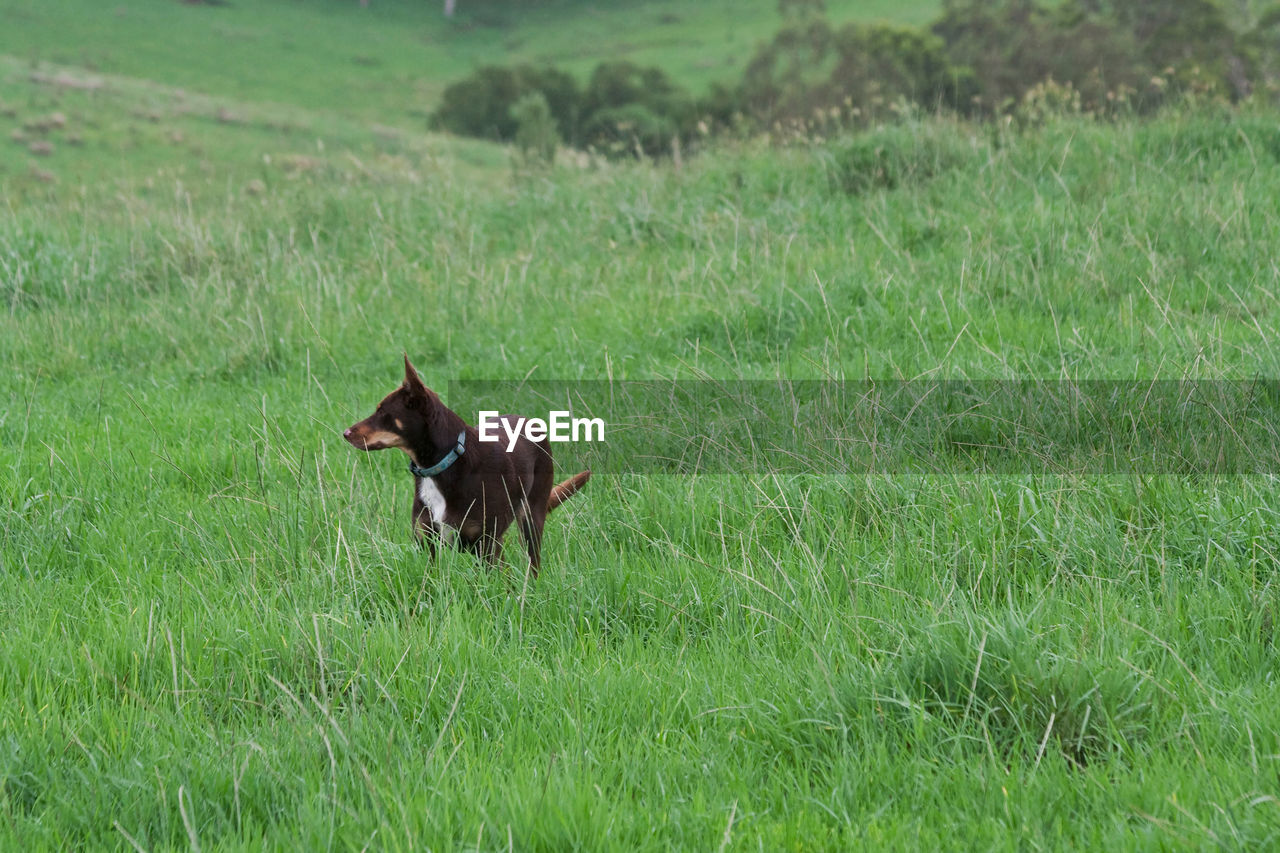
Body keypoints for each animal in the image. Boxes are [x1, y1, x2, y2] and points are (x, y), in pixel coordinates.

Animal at [340, 356, 588, 573]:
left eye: (382, 411)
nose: (345, 433)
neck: (442, 465)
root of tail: (531, 422)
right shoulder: (426, 543)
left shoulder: (484, 544)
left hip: (531, 518)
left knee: (532, 563)